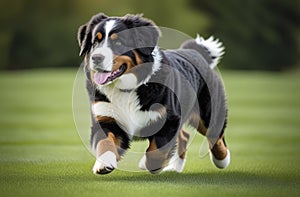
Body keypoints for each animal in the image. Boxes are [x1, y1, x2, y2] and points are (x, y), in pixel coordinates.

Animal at [77, 13, 230, 175]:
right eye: (95, 42)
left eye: (118, 42)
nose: (96, 58)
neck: (127, 89)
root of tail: (195, 52)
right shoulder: (106, 119)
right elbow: (105, 143)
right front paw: (103, 163)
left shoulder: (168, 119)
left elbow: (156, 150)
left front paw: (147, 164)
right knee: (185, 136)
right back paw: (174, 167)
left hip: (208, 113)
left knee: (215, 136)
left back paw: (222, 160)